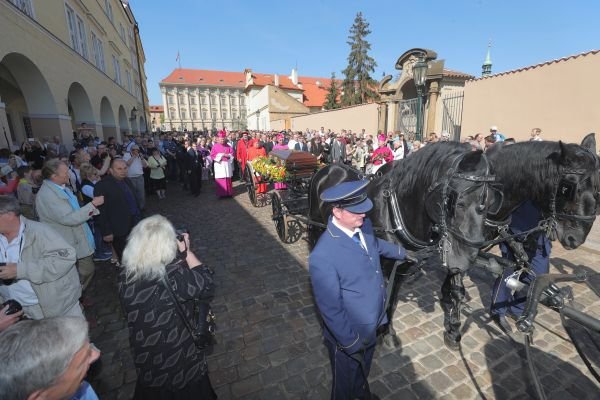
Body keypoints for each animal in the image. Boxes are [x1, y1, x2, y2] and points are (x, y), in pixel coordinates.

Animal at [308, 142, 500, 348]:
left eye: (491, 202)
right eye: (456, 200)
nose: (467, 259)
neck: (393, 213)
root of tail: (329, 167)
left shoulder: (399, 269)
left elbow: (393, 301)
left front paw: (389, 332)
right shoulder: (385, 268)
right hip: (315, 226)